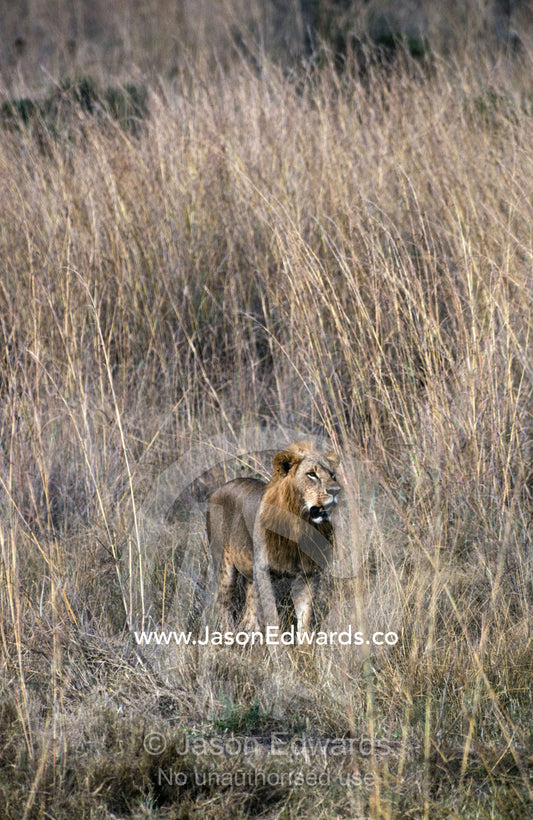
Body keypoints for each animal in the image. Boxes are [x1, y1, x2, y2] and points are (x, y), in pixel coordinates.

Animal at [207, 441, 341, 633]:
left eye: (333, 475)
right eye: (311, 474)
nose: (336, 491)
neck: (301, 525)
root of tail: (219, 488)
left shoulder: (308, 574)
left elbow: (305, 617)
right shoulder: (264, 572)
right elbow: (271, 617)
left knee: (249, 609)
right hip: (224, 567)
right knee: (225, 606)